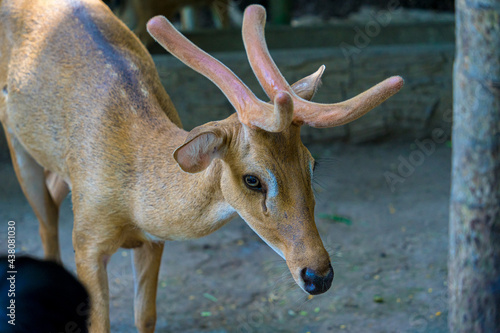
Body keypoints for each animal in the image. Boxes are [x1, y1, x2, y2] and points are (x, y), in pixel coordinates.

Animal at [0, 0, 402, 332]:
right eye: (252, 179)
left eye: (312, 165)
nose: (319, 276)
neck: (133, 193)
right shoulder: (87, 238)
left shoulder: (153, 241)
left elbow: (146, 317)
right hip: (16, 140)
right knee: (46, 223)